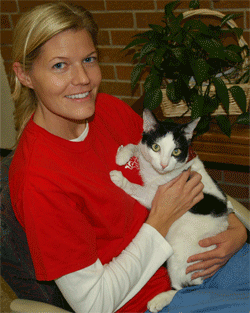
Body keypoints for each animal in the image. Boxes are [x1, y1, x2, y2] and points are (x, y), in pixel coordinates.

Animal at [109, 108, 232, 310]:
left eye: (176, 151)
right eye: (156, 147)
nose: (164, 164)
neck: (154, 172)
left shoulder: (154, 196)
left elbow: (137, 189)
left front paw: (119, 178)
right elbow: (138, 146)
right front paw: (122, 155)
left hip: (178, 255)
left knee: (185, 288)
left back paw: (160, 300)